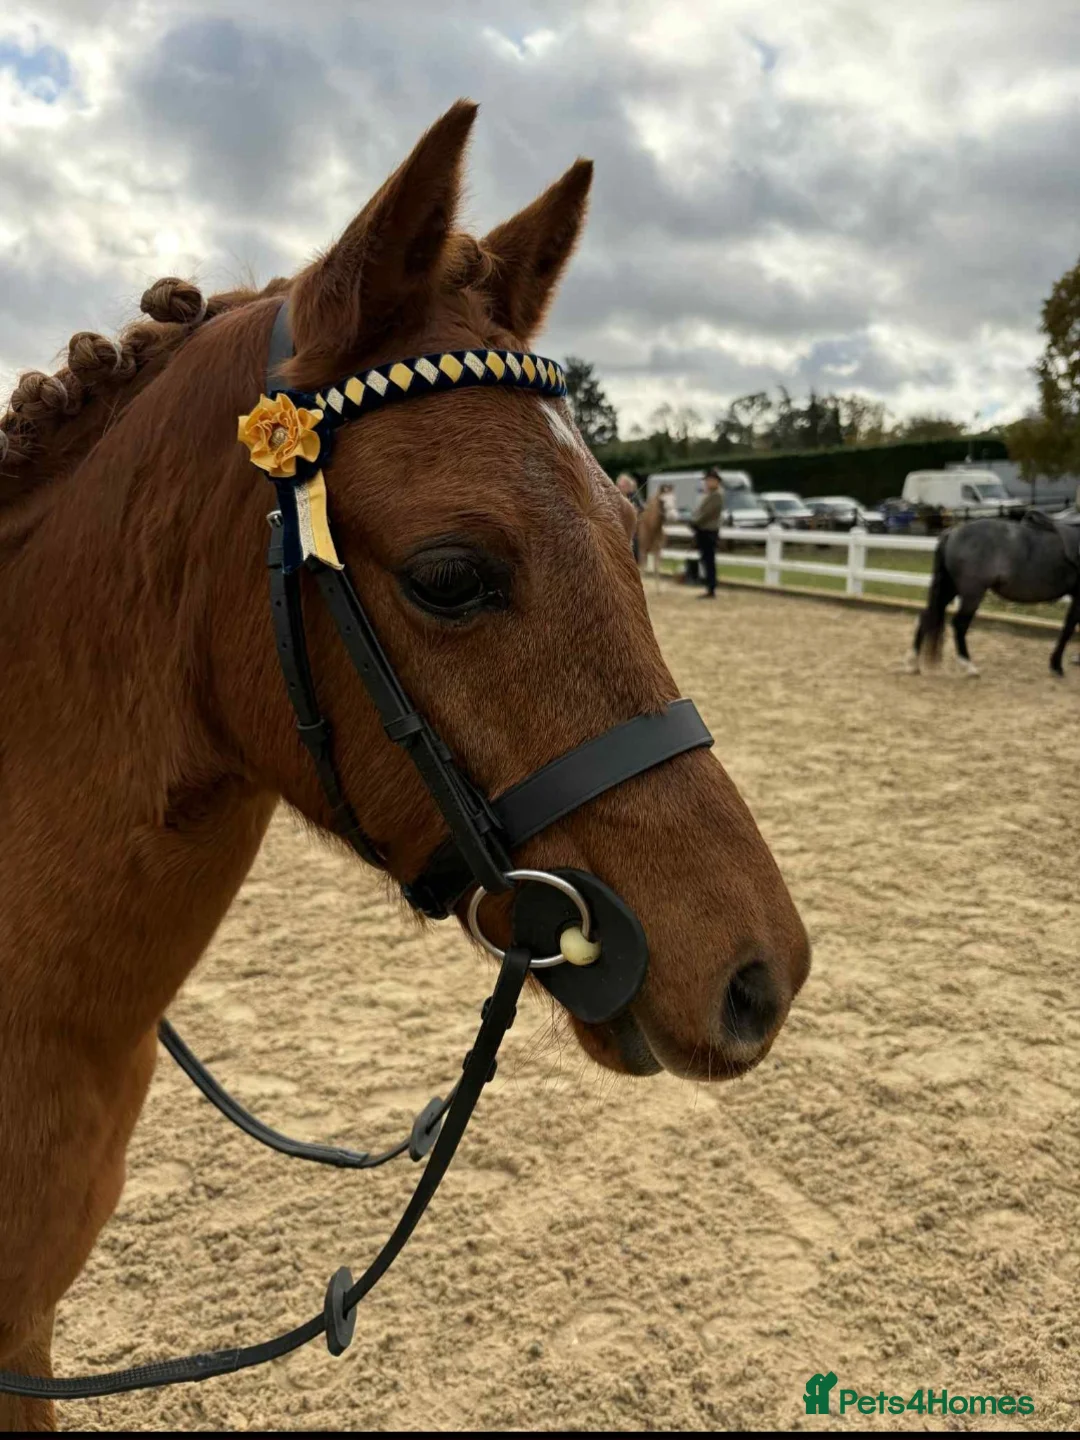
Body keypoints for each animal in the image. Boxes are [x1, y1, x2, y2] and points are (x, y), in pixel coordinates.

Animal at [906, 512, 1080, 677]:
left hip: (950, 589)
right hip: (972, 594)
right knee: (959, 624)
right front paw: (1056, 666)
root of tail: (952, 533)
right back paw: (969, 666)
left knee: (928, 616)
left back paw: (913, 663)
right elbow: (1068, 629)